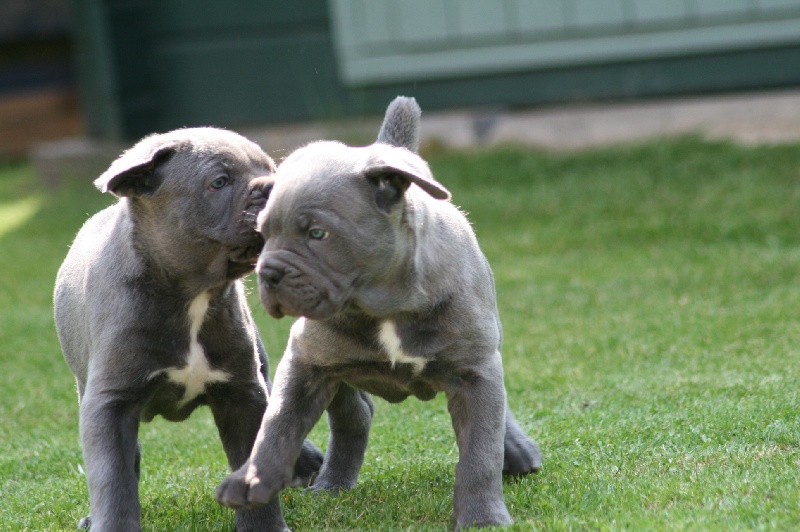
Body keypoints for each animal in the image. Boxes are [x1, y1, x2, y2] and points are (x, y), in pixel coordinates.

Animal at [54, 129, 324, 532]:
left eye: (272, 170)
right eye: (220, 182)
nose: (274, 188)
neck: (192, 293)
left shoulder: (243, 393)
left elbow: (254, 456)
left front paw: (265, 526)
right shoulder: (109, 401)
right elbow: (113, 476)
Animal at [217, 98, 544, 528]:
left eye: (318, 234)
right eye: (262, 233)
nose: (268, 274)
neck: (384, 305)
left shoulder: (475, 371)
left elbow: (480, 451)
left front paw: (482, 518)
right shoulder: (305, 363)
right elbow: (277, 426)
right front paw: (254, 479)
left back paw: (518, 450)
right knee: (354, 414)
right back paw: (333, 483)